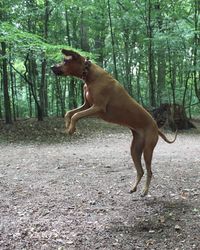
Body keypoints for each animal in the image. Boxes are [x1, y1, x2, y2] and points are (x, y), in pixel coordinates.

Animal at [51, 49, 177, 196]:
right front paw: (67, 124)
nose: (52, 67)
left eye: (65, 61)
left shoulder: (97, 107)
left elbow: (76, 115)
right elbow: (69, 113)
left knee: (150, 171)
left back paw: (145, 191)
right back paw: (134, 187)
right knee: (140, 170)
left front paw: (71, 128)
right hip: (135, 149)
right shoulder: (87, 105)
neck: (89, 75)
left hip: (148, 149)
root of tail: (156, 126)